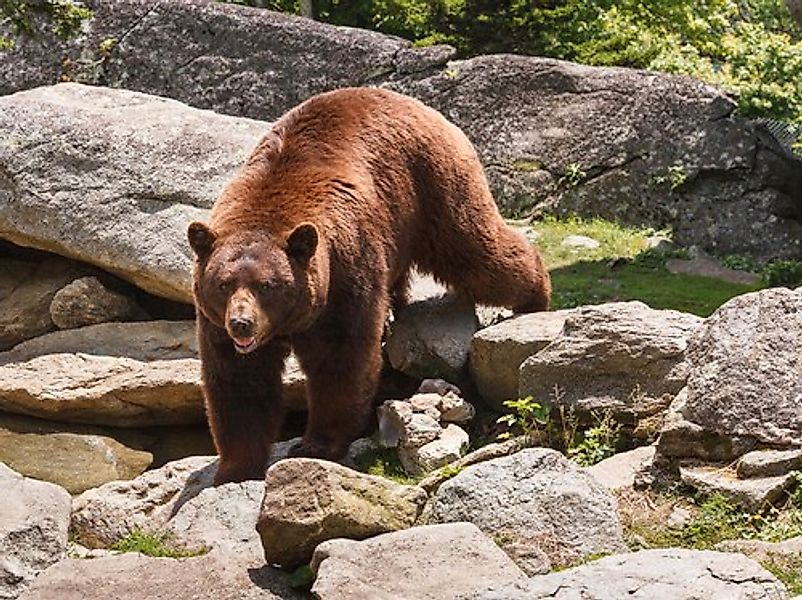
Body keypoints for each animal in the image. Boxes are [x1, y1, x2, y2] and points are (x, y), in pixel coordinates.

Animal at [188, 88, 552, 482]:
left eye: (268, 285)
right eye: (223, 284)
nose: (242, 323)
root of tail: (420, 106)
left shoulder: (345, 274)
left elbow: (340, 359)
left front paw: (317, 445)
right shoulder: (217, 324)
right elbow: (240, 382)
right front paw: (234, 468)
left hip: (431, 189)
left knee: (476, 252)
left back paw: (536, 294)